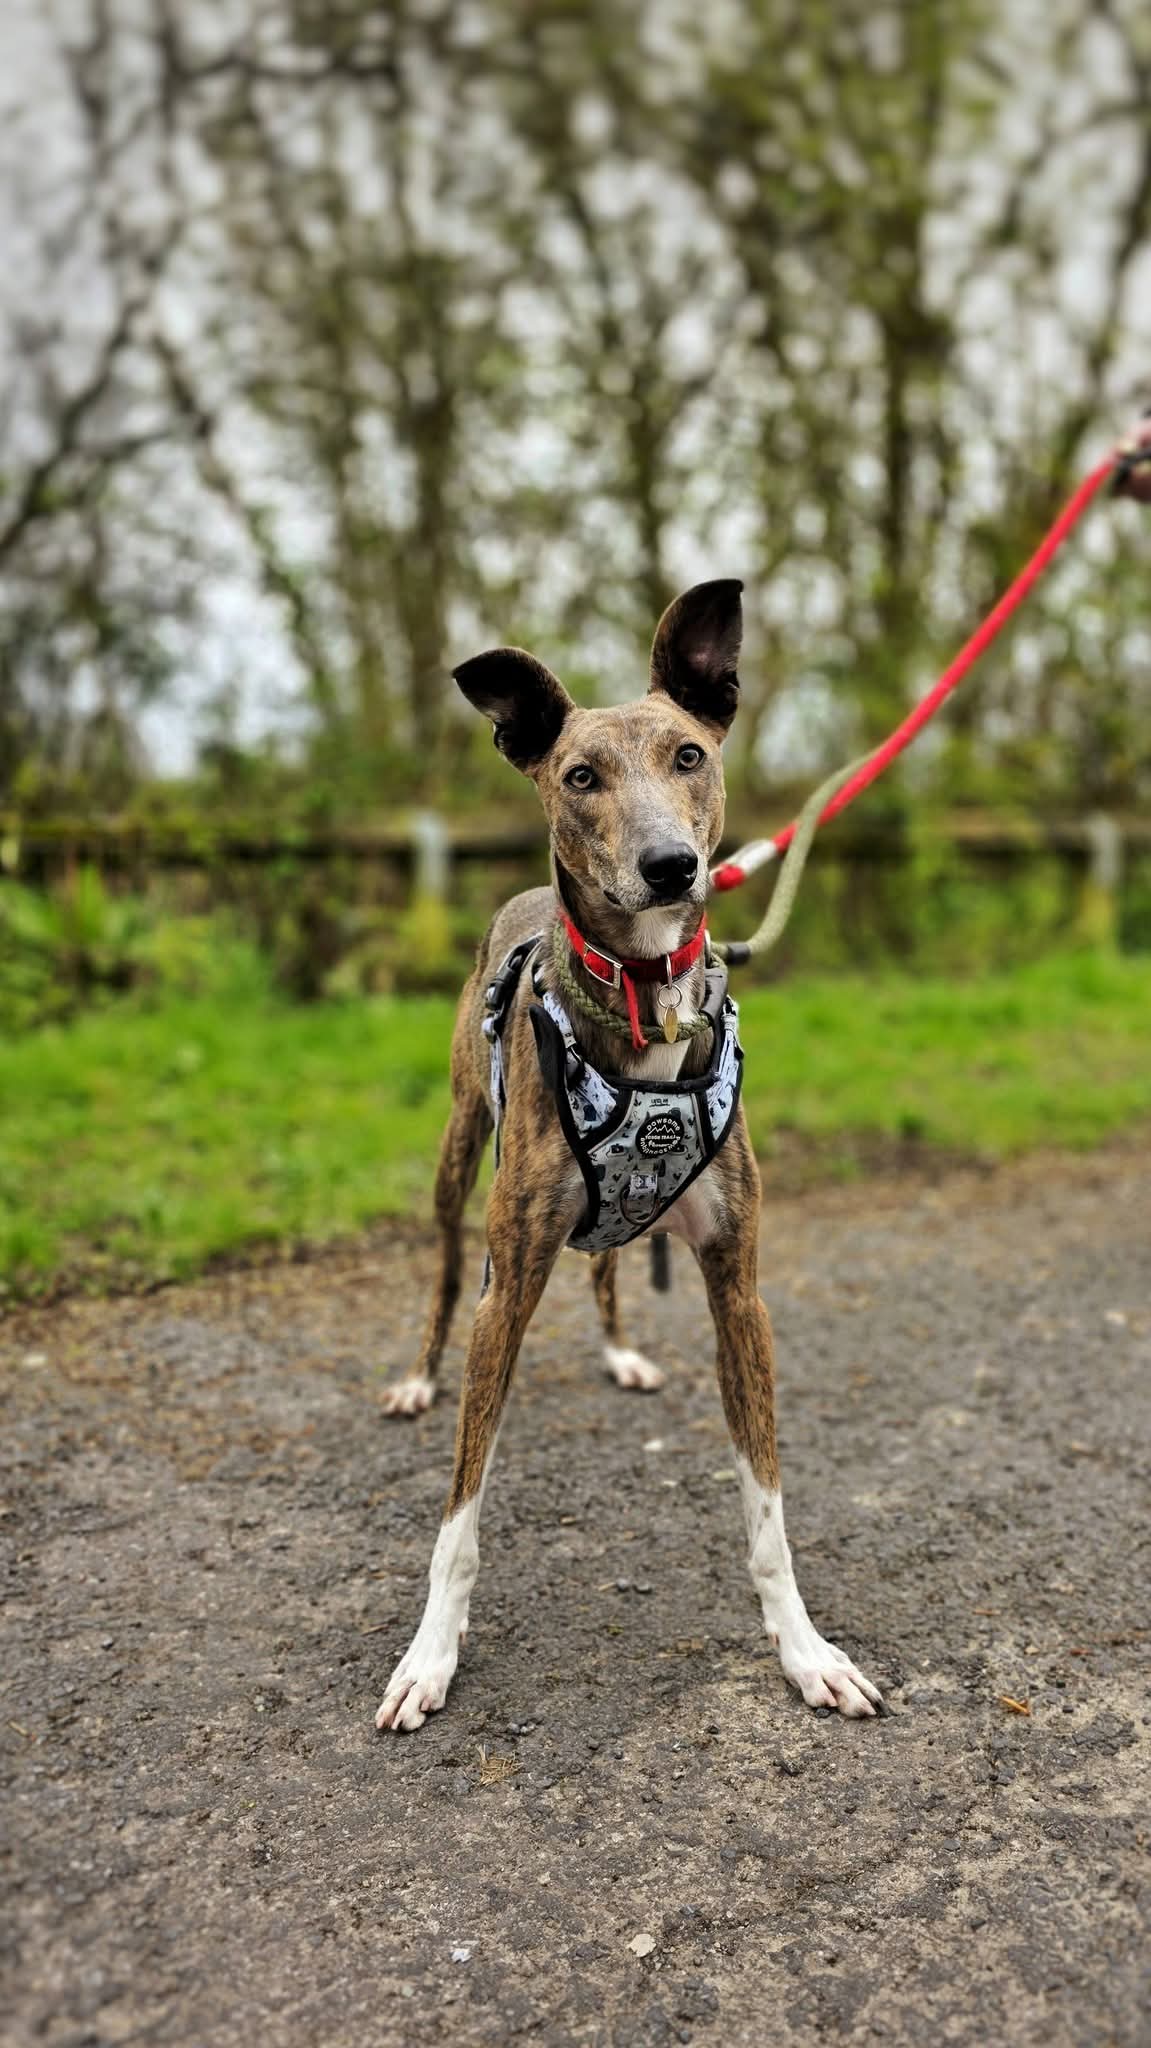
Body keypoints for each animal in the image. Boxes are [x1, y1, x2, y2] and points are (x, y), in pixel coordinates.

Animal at [376, 579, 883, 1730]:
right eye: (579, 775)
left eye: (688, 754)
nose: (669, 867)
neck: (644, 998)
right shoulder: (506, 1286)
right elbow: (458, 1517)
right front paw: (428, 1656)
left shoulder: (737, 1285)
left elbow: (766, 1509)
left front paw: (806, 1651)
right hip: (457, 1158)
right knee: (441, 1271)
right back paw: (417, 1379)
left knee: (605, 1260)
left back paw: (618, 1351)